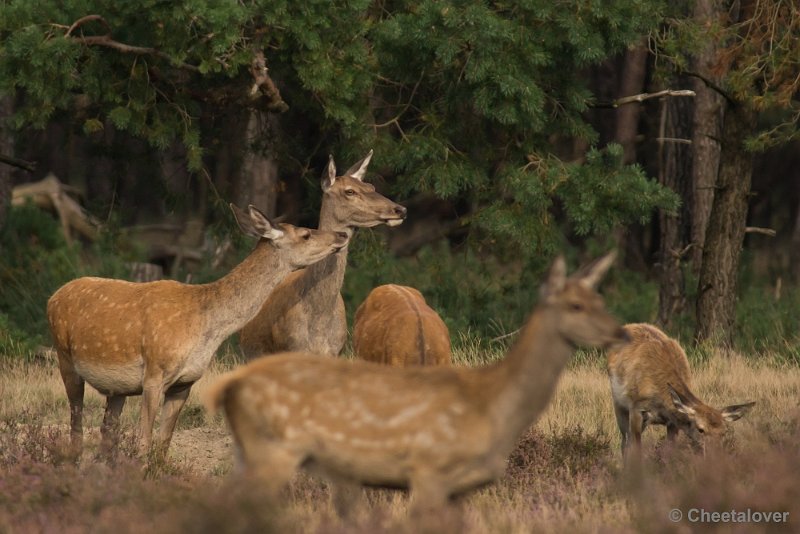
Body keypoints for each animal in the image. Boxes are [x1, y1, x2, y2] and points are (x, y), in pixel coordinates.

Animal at [48, 205, 348, 460]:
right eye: (305, 233)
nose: (341, 234)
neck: (205, 328)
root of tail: (54, 296)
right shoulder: (154, 373)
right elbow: (144, 443)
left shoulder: (185, 382)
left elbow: (163, 445)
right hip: (65, 359)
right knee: (76, 424)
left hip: (116, 387)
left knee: (107, 431)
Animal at [608, 322, 752, 460]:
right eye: (700, 429)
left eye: (724, 432)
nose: (716, 455)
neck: (661, 403)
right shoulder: (636, 408)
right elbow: (636, 451)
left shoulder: (672, 422)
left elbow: (670, 452)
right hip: (618, 404)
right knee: (625, 443)